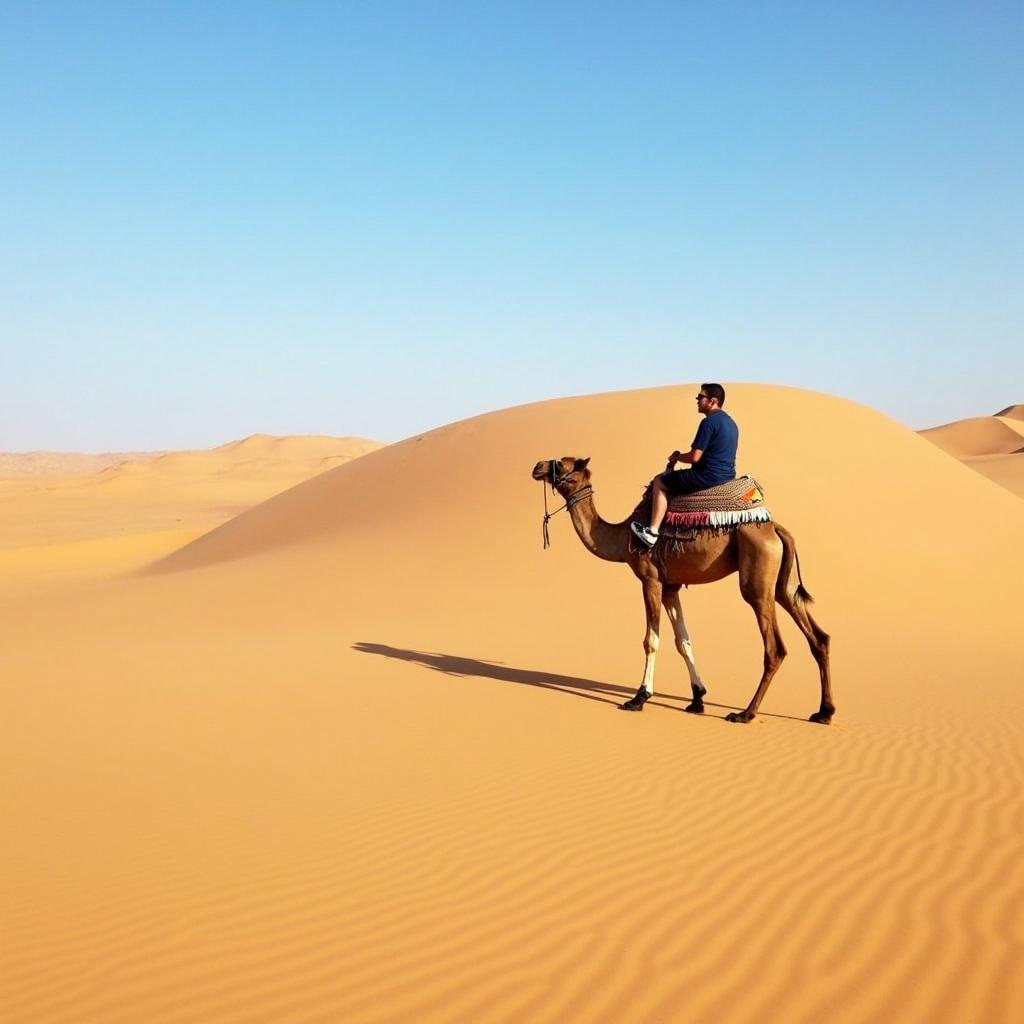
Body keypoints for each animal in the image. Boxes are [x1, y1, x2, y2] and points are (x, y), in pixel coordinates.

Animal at [532, 456, 835, 729]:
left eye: (562, 462)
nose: (537, 466)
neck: (622, 538)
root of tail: (777, 529)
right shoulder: (671, 586)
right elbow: (683, 641)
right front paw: (697, 698)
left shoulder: (650, 580)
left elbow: (651, 640)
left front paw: (639, 697)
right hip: (784, 585)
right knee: (818, 637)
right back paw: (824, 712)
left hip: (758, 584)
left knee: (775, 648)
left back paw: (745, 714)